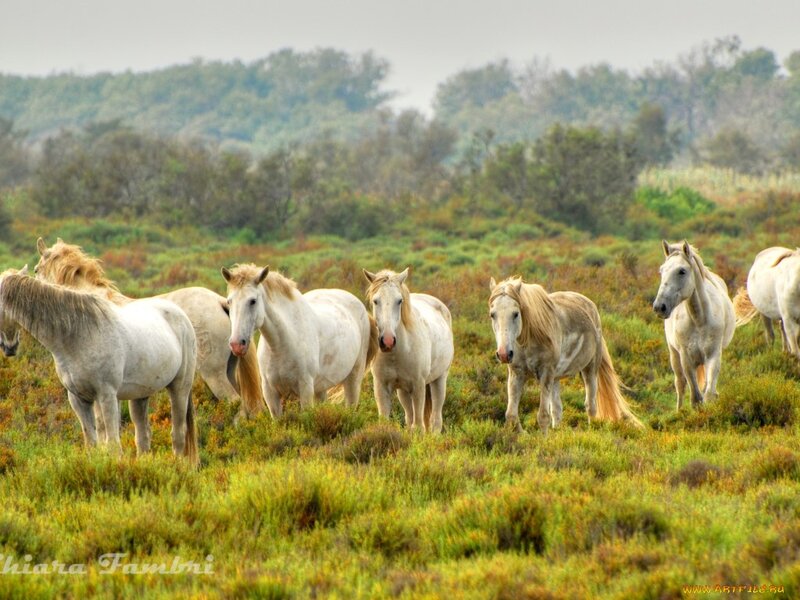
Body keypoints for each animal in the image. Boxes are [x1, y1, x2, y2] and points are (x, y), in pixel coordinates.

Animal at [0, 268, 199, 465]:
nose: (9, 346)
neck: (78, 336)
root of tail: (182, 315)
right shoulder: (78, 399)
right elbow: (92, 443)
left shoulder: (107, 395)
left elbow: (113, 445)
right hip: (140, 395)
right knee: (143, 436)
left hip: (180, 388)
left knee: (178, 434)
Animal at [222, 264, 378, 417]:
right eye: (229, 301)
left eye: (252, 301)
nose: (236, 345)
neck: (281, 345)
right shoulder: (270, 393)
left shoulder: (305, 389)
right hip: (320, 388)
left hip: (353, 378)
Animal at [363, 268, 454, 433]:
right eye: (375, 301)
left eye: (399, 301)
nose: (387, 341)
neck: (396, 354)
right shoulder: (381, 387)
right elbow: (386, 421)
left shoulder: (418, 386)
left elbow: (418, 426)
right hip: (403, 391)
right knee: (409, 417)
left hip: (439, 380)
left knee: (435, 420)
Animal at [489, 276, 641, 432]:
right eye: (492, 314)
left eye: (516, 314)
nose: (504, 354)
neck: (529, 340)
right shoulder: (517, 373)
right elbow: (511, 415)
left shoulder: (546, 373)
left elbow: (543, 416)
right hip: (555, 378)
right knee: (557, 410)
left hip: (590, 369)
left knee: (591, 406)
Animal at [653, 240, 735, 409]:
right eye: (661, 270)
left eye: (682, 271)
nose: (659, 307)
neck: (700, 320)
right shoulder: (686, 359)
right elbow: (695, 398)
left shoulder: (713, 355)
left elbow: (709, 394)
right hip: (674, 354)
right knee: (680, 384)